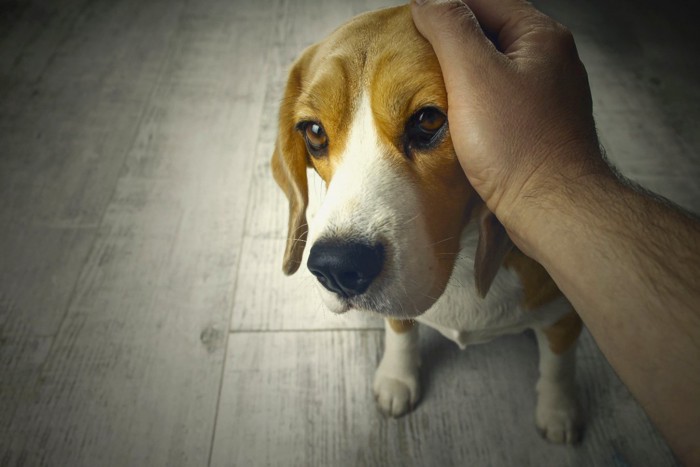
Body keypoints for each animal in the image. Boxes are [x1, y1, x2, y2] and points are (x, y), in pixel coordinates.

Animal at [270, 4, 584, 446]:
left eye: (430, 120)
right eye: (314, 131)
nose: (337, 268)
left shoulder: (565, 315)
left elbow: (559, 364)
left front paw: (558, 410)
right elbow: (401, 329)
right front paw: (397, 378)